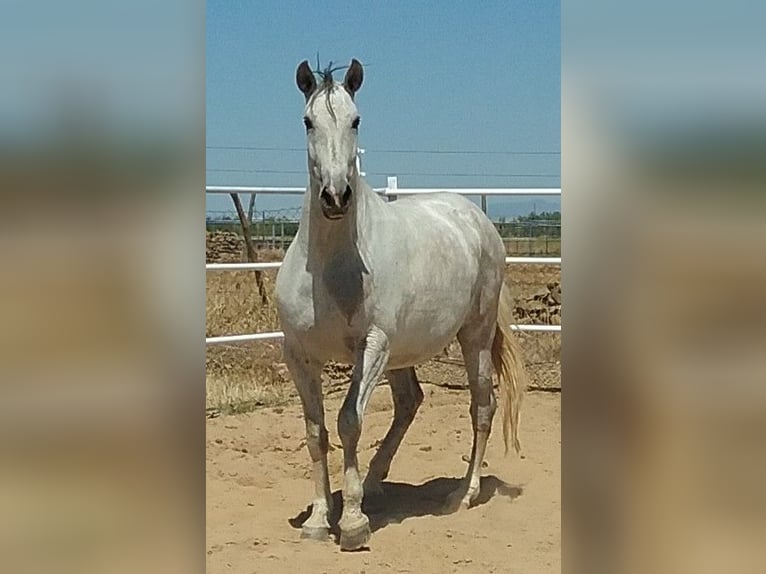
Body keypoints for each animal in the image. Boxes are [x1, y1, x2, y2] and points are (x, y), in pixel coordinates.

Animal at [276, 59, 528, 552]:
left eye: (356, 120)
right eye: (307, 121)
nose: (336, 196)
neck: (332, 268)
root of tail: (477, 220)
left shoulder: (372, 346)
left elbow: (348, 422)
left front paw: (353, 523)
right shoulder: (298, 353)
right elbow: (315, 431)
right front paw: (319, 519)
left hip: (473, 336)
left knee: (482, 406)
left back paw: (461, 495)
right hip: (403, 353)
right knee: (411, 401)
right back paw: (376, 482)